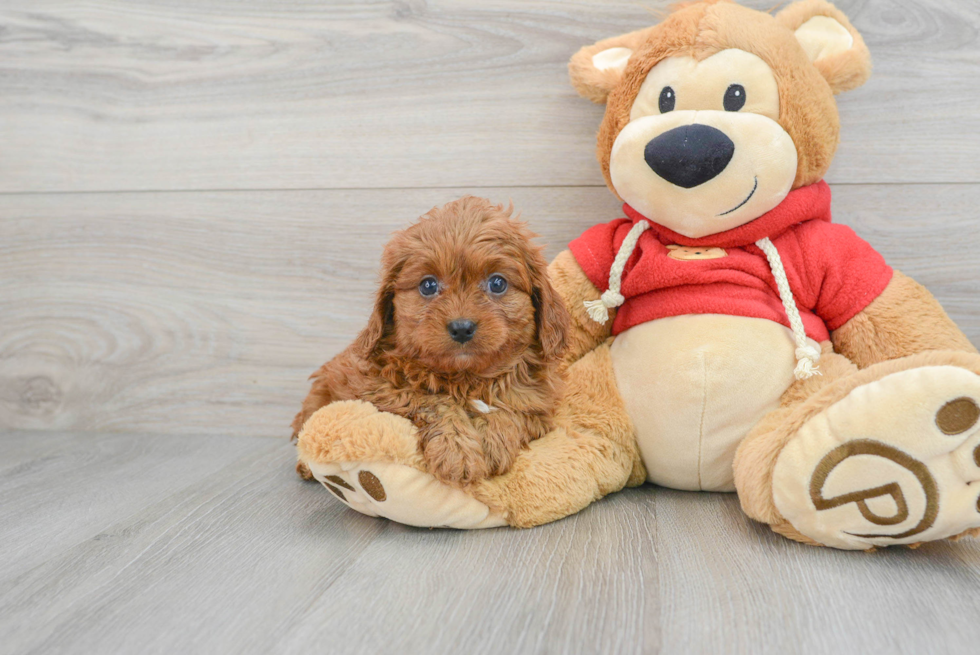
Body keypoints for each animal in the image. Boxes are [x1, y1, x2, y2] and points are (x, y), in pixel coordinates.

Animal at [290, 195, 572, 486]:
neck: (465, 378)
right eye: (428, 286)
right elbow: (432, 401)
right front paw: (457, 451)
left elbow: (510, 410)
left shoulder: (538, 406)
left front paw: (493, 439)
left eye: (497, 283)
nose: (462, 328)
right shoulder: (376, 388)